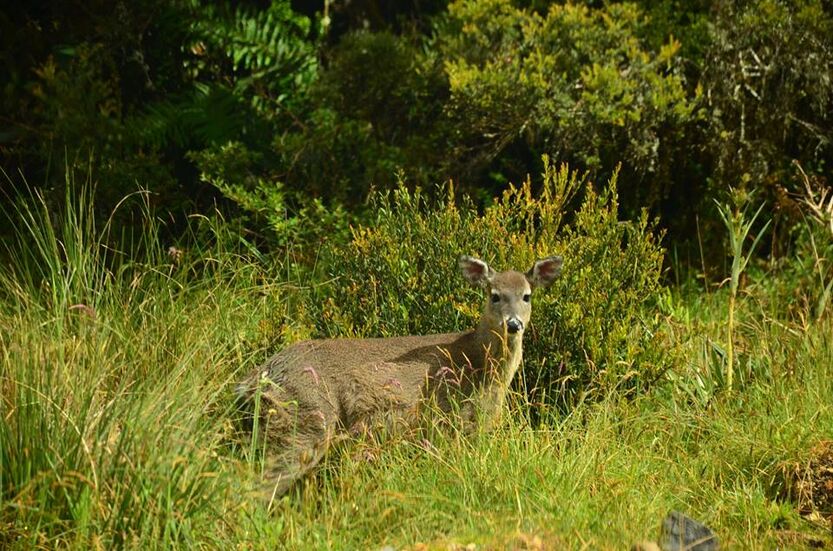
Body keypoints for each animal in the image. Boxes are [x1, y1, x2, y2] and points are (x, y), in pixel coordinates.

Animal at [236, 254, 560, 500]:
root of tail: (262, 373)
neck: (480, 366)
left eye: (527, 296)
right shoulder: (449, 419)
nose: (514, 324)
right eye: (495, 296)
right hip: (307, 418)